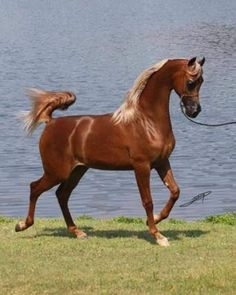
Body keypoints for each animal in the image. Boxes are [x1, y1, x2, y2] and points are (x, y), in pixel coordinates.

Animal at [16, 56, 205, 246]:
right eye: (190, 82)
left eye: (201, 81)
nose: (194, 111)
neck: (146, 121)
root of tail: (50, 122)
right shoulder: (141, 166)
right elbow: (148, 201)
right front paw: (158, 236)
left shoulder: (162, 162)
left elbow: (175, 192)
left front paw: (156, 219)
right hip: (57, 172)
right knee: (35, 188)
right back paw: (22, 225)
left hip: (77, 171)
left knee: (62, 195)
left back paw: (77, 231)